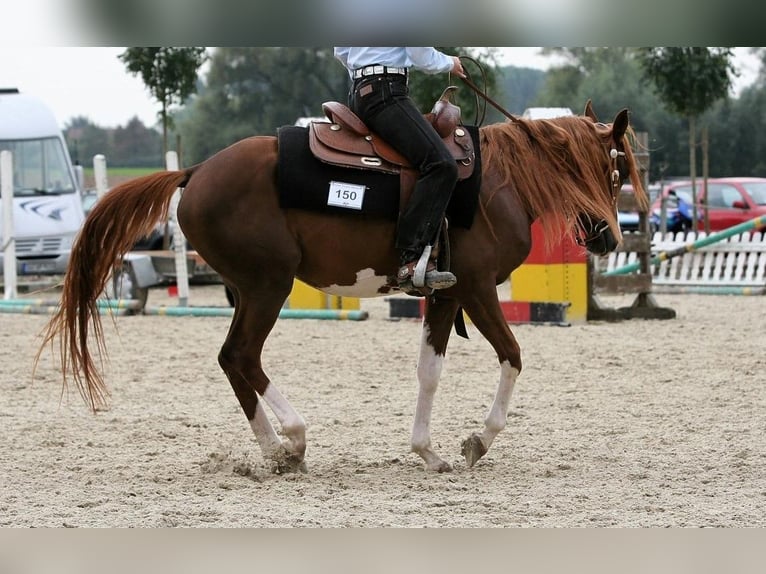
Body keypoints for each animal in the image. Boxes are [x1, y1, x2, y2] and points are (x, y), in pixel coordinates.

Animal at [36, 100, 646, 473]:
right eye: (616, 170)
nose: (609, 237)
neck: (501, 180)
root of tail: (195, 172)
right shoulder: (475, 288)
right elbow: (514, 355)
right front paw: (478, 441)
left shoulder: (445, 294)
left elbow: (430, 371)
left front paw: (428, 452)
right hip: (268, 284)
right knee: (244, 355)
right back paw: (294, 438)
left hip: (249, 287)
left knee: (232, 359)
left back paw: (275, 452)